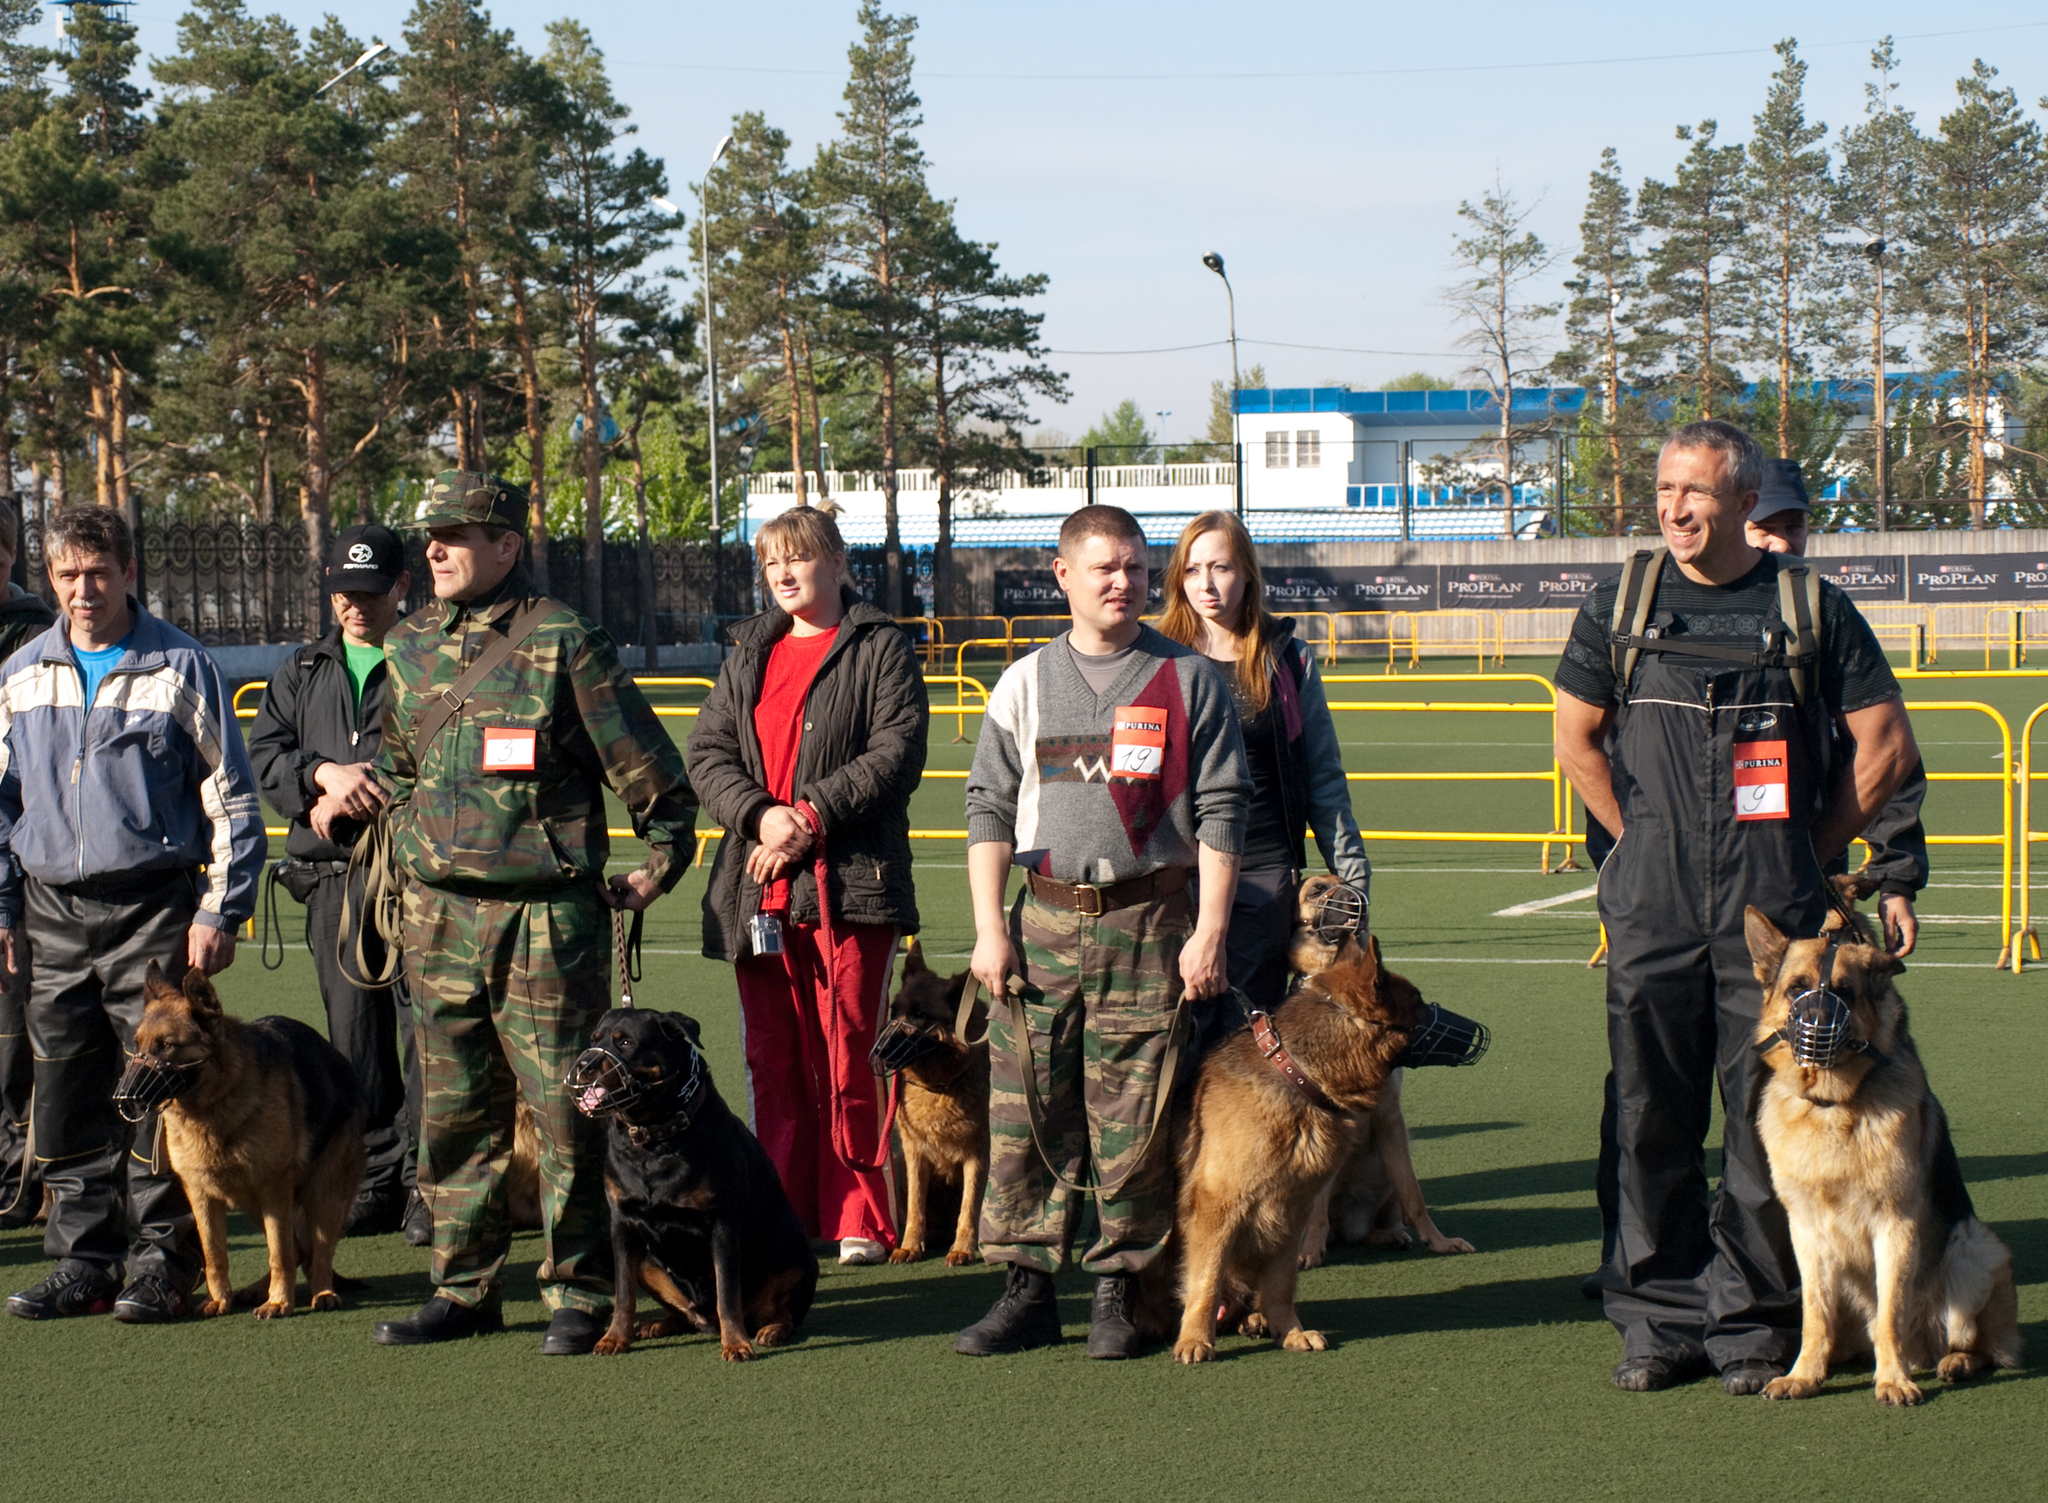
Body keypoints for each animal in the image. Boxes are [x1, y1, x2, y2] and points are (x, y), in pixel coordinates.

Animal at [117, 966, 364, 1318]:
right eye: (137, 1045)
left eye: (165, 1045)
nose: (123, 1097)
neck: (212, 1106)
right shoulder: (202, 1196)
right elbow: (214, 1254)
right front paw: (221, 1299)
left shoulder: (274, 1188)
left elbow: (279, 1253)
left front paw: (279, 1302)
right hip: (253, 1204)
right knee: (299, 1248)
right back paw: (258, 1290)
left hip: (323, 1194)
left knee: (317, 1252)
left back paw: (323, 1292)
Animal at [569, 1011, 815, 1367]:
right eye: (593, 1039)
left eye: (625, 1041)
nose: (584, 1064)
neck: (655, 1139)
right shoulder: (622, 1224)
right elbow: (623, 1293)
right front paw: (614, 1337)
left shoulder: (722, 1224)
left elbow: (727, 1294)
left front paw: (736, 1344)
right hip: (648, 1263)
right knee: (684, 1314)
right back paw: (657, 1324)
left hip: (798, 1256)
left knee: (784, 1312)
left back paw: (771, 1330)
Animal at [876, 946, 987, 1269]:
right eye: (894, 1011)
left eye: (919, 1016)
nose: (878, 1050)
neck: (942, 1087)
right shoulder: (914, 1154)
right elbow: (916, 1206)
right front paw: (910, 1246)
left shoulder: (978, 1156)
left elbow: (969, 1207)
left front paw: (962, 1249)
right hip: (899, 1164)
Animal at [1138, 929, 1474, 1367]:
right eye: (1417, 1002)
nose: (1479, 1033)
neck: (1297, 1075)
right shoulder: (1217, 1208)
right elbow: (1206, 1281)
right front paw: (1196, 1339)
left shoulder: (1289, 1210)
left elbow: (1282, 1283)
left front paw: (1290, 1332)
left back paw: (1258, 1318)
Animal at [1744, 888, 2015, 1408]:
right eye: (1796, 989)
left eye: (1845, 993)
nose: (1815, 1024)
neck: (1833, 1106)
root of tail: (1925, 1348)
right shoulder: (1805, 1231)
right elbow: (1813, 1316)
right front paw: (1803, 1374)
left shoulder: (1895, 1225)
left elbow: (1890, 1311)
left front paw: (1892, 1380)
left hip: (1975, 1246)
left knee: (1980, 1345)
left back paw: (1951, 1362)